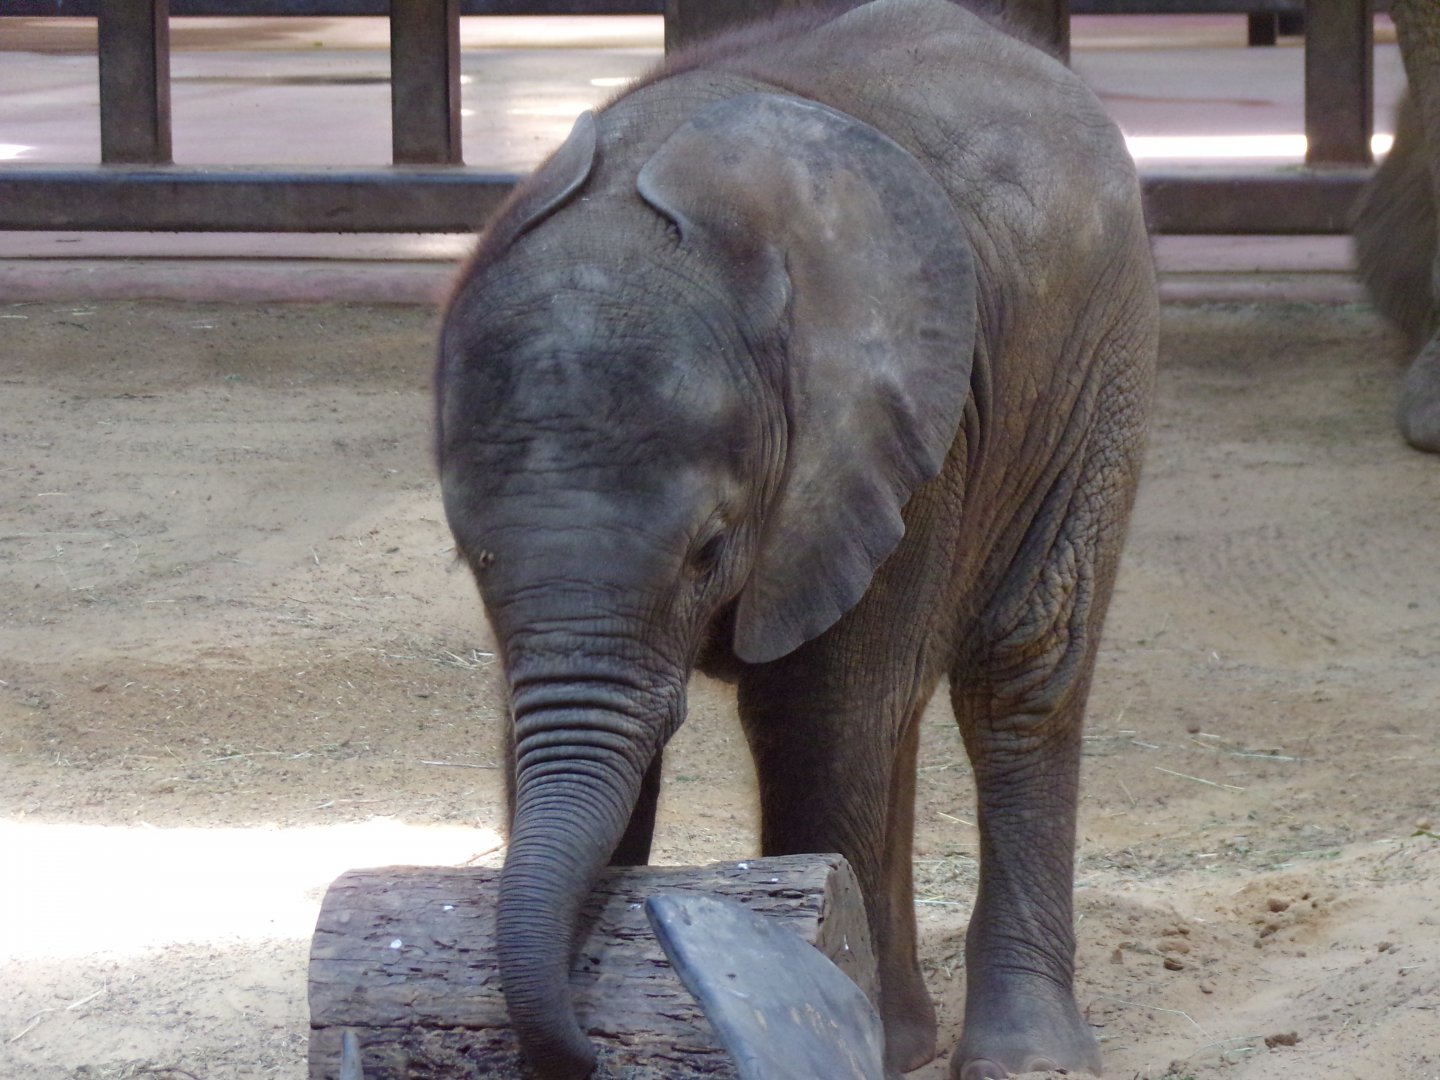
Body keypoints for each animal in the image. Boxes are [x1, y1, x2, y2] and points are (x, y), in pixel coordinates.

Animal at [434, 1, 1158, 1077]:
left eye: (708, 550)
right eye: (471, 558)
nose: (589, 1046)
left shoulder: (903, 438)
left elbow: (812, 714)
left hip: (1099, 361)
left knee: (1019, 674)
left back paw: (1021, 1054)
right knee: (907, 710)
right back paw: (911, 1036)